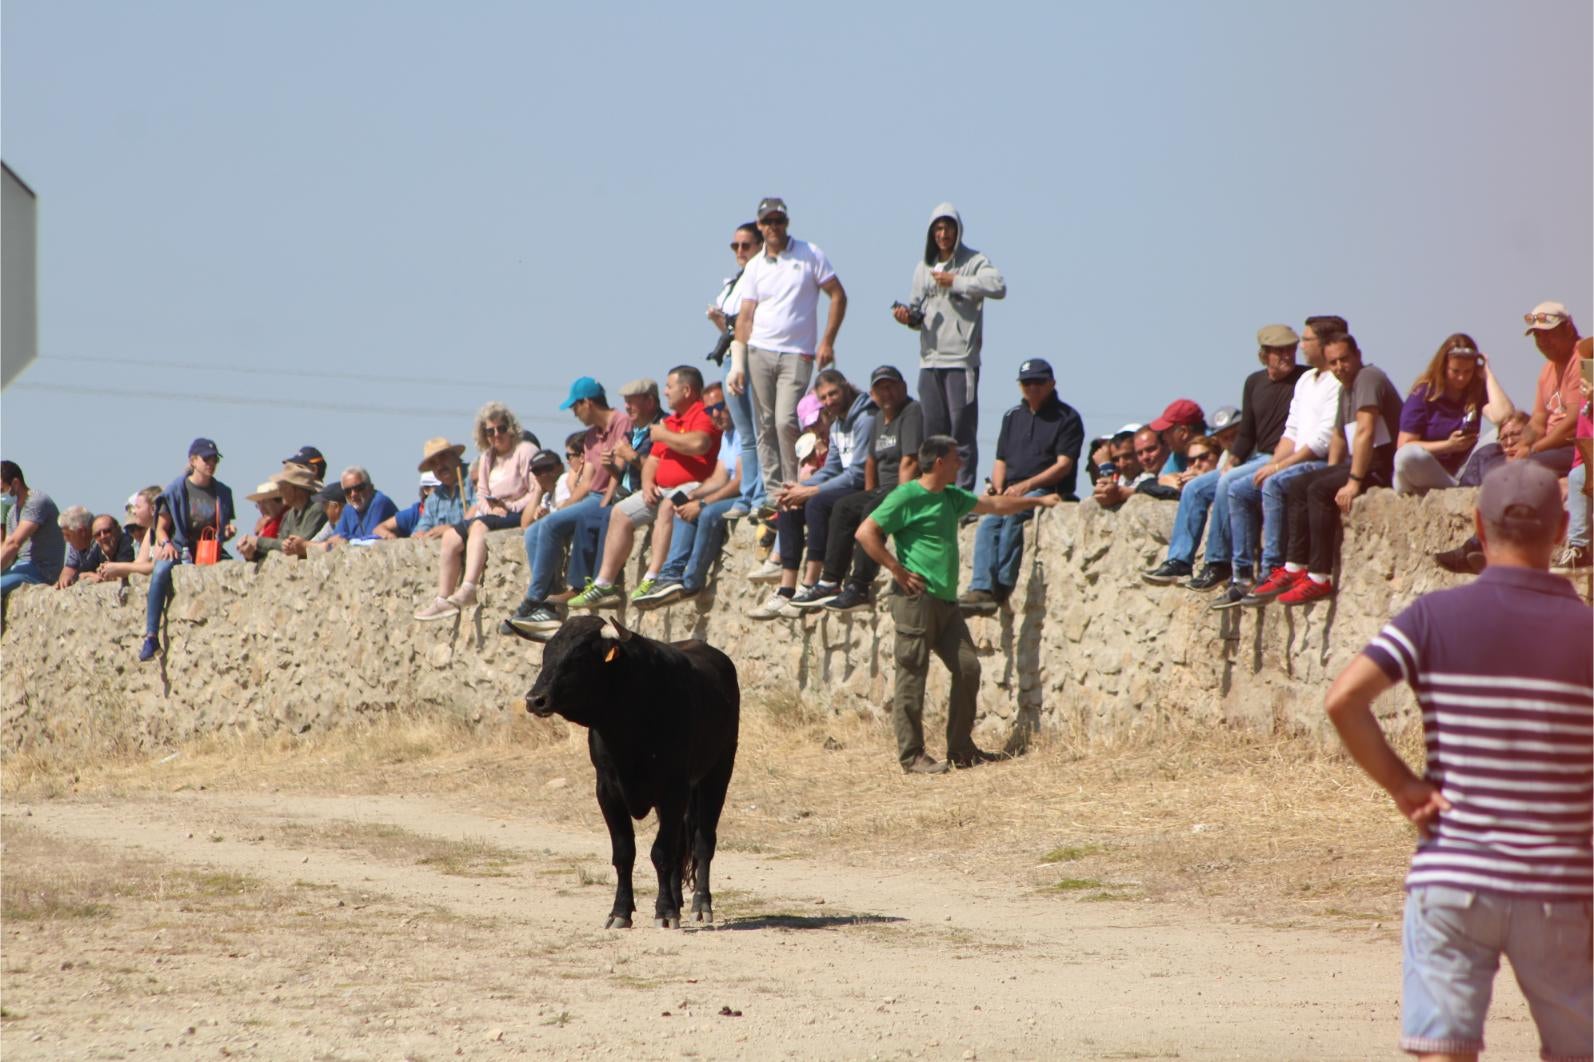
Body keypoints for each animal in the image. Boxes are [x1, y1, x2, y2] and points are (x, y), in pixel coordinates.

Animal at [522, 612, 745, 924]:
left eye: (578, 657)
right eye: (547, 654)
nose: (534, 700)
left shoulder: (674, 788)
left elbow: (661, 852)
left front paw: (664, 912)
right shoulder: (607, 790)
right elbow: (625, 852)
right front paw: (621, 911)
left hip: (718, 771)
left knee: (703, 843)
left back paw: (700, 905)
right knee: (680, 847)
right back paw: (677, 901)